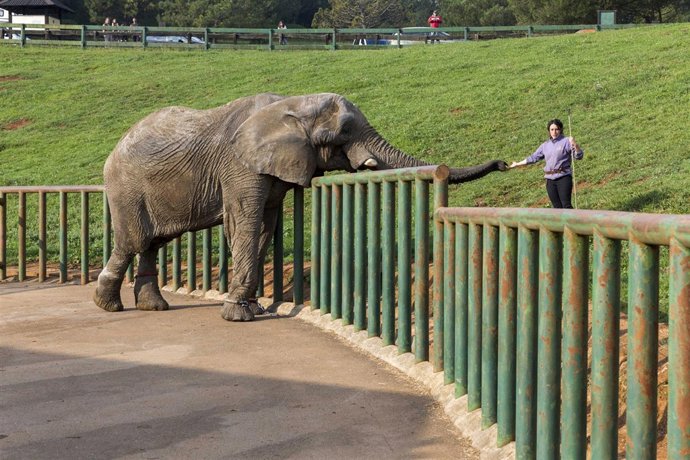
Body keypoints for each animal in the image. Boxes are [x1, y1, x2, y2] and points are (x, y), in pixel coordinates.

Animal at [93, 92, 508, 321]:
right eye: (342, 132)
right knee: (132, 242)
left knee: (152, 244)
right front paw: (240, 316)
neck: (291, 104)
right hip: (126, 189)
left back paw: (152, 307)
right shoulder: (240, 165)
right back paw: (106, 305)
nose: (504, 163)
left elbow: (264, 224)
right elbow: (245, 222)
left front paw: (254, 308)